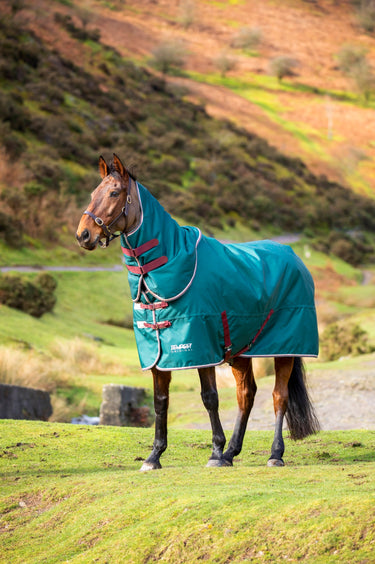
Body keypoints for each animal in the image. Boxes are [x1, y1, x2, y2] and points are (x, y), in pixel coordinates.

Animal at [75, 154, 320, 472]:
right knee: (246, 395)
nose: (83, 235)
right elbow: (160, 402)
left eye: (115, 193)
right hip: (241, 351)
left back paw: (273, 454)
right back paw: (232, 452)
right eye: (94, 193)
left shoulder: (202, 349)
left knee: (279, 396)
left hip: (285, 348)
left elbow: (210, 398)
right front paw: (154, 456)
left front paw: (215, 452)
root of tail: (294, 258)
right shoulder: (158, 355)